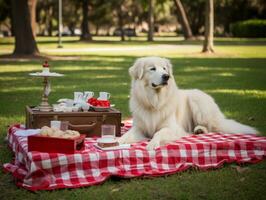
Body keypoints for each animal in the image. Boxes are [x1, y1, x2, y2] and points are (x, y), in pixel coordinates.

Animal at [117, 57, 258, 149]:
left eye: (164, 68)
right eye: (152, 69)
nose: (166, 76)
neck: (154, 101)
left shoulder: (172, 128)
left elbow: (158, 133)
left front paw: (152, 144)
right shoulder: (139, 128)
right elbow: (127, 135)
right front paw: (116, 142)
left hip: (197, 102)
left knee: (212, 127)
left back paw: (200, 129)